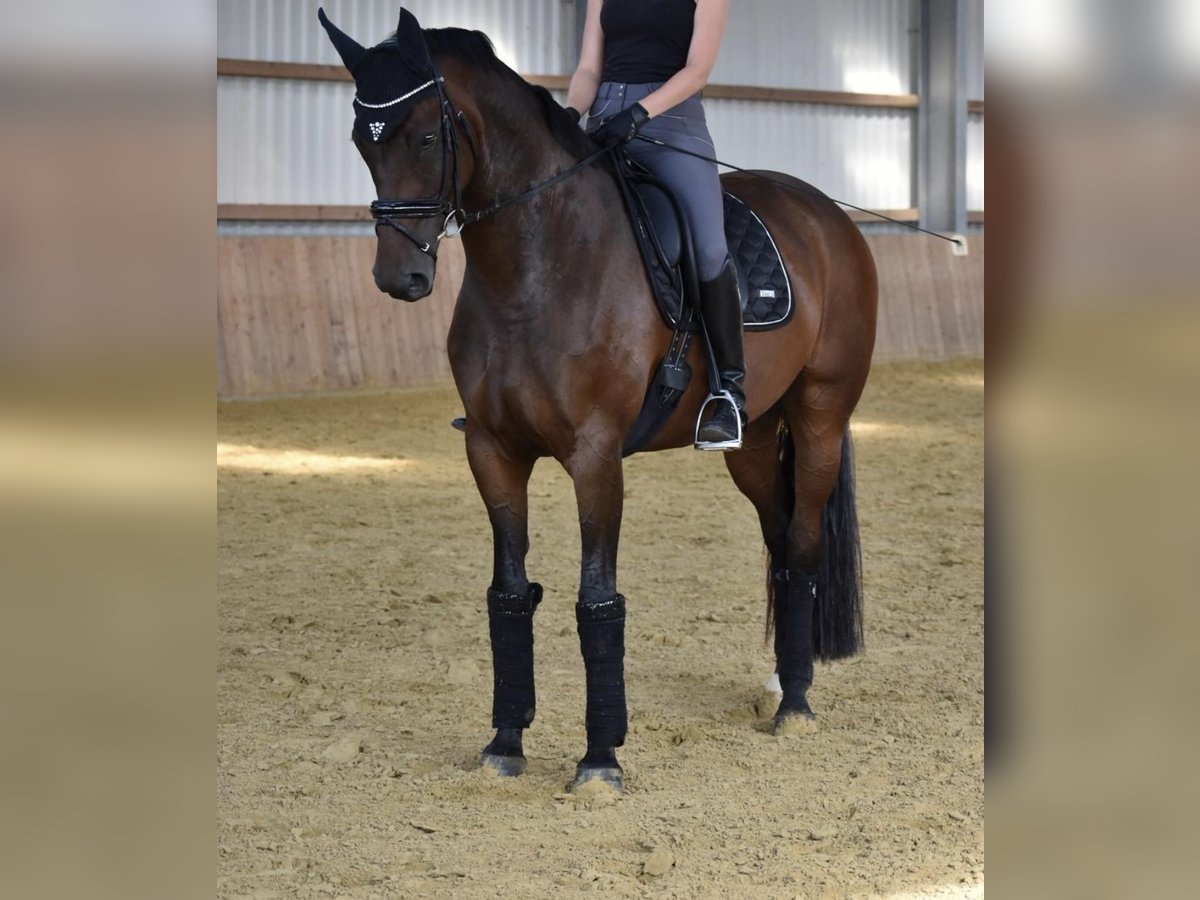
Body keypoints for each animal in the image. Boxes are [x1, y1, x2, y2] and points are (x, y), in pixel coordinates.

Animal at [319, 10, 878, 792]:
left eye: (427, 136)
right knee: (777, 536)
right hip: (756, 440)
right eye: (360, 140)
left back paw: (795, 703)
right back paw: (777, 679)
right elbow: (508, 592)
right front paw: (504, 743)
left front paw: (599, 760)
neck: (536, 266)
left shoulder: (595, 455)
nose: (398, 277)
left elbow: (597, 600)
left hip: (822, 414)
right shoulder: (491, 448)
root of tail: (827, 214)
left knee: (800, 545)